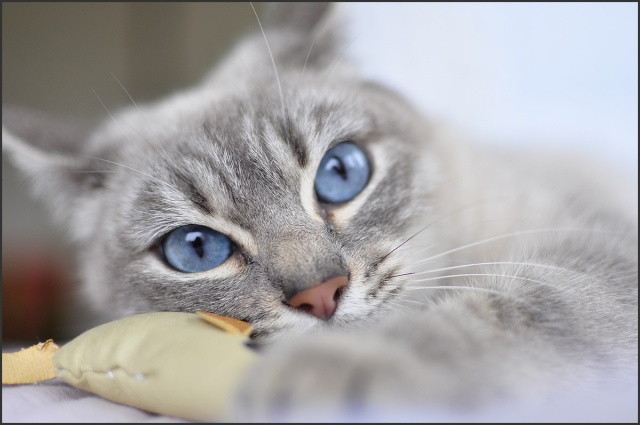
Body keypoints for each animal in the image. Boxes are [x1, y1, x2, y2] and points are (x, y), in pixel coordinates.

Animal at [2, 2, 636, 420]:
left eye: (340, 174)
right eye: (196, 249)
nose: (321, 294)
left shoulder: (594, 247)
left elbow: (507, 310)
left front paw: (326, 373)